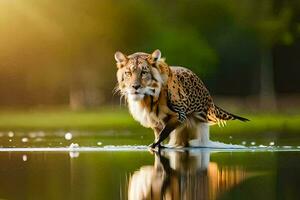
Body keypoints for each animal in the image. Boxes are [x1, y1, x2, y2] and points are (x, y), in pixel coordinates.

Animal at [113, 50, 248, 149]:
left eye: (144, 72)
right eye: (128, 73)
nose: (135, 86)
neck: (147, 98)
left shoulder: (179, 116)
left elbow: (163, 133)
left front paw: (153, 146)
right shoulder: (155, 122)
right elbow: (159, 136)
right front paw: (157, 146)